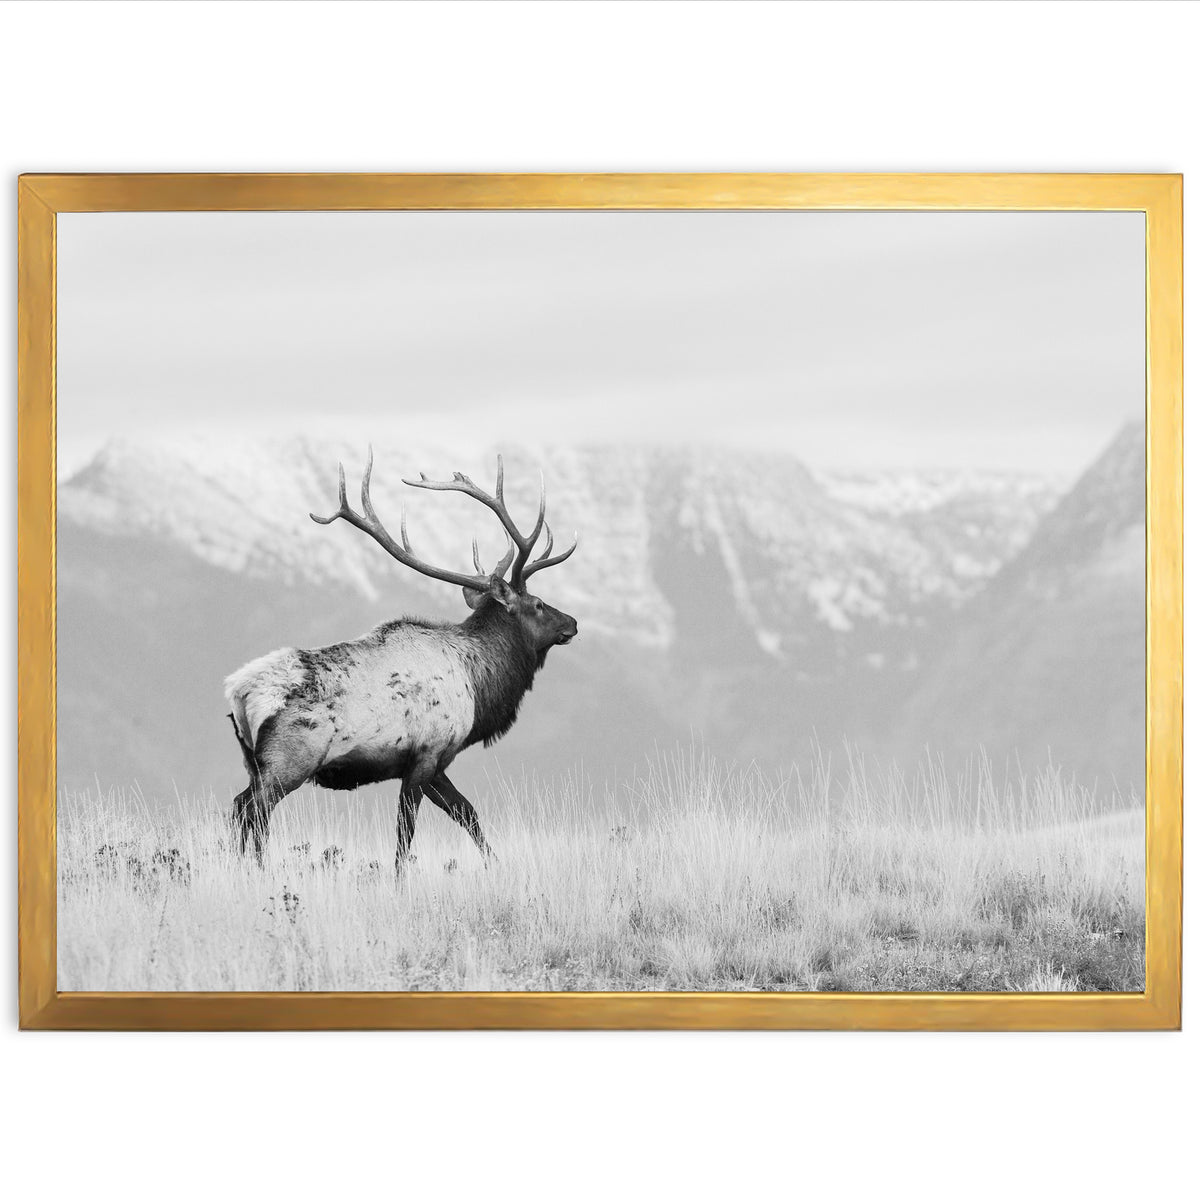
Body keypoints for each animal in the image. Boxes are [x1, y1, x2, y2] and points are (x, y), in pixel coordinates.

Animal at [223, 450, 578, 870]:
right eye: (538, 604)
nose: (572, 622)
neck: (479, 685)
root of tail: (238, 692)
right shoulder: (426, 754)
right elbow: (405, 836)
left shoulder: (436, 764)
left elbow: (468, 815)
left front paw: (496, 866)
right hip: (289, 760)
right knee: (251, 811)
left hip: (253, 762)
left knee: (242, 807)